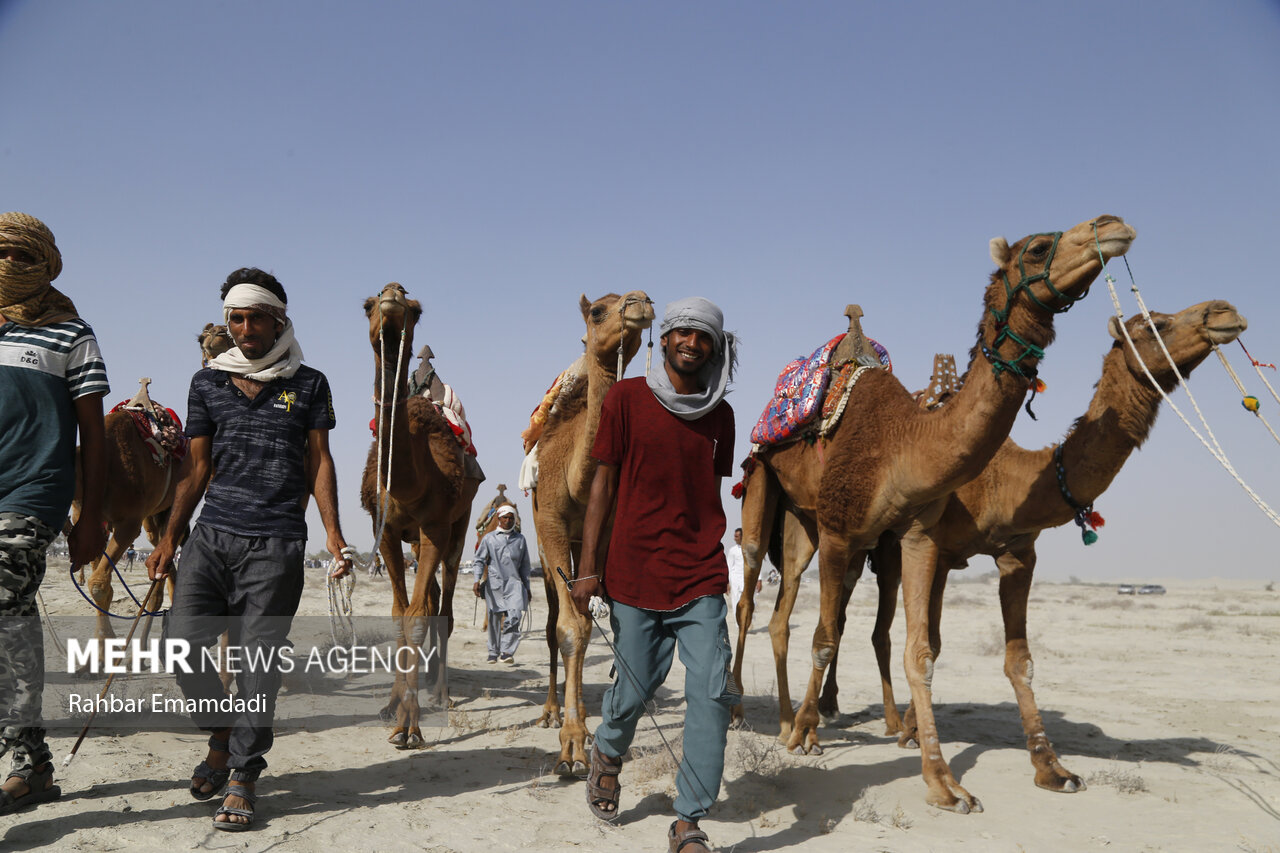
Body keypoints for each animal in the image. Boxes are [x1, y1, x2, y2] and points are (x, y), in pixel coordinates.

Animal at [358, 280, 481, 742]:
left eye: (416, 308)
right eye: (368, 305)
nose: (392, 293)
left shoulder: (435, 527)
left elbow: (416, 616)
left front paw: (408, 725)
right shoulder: (387, 532)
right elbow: (400, 614)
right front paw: (392, 704)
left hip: (459, 528)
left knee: (443, 607)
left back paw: (441, 693)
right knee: (428, 603)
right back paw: (427, 680)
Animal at [527, 289, 650, 773]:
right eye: (598, 311)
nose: (641, 302)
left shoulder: (606, 530)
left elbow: (592, 625)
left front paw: (582, 737)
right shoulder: (550, 524)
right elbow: (567, 629)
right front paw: (571, 744)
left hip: (584, 546)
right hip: (547, 555)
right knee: (550, 625)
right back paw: (550, 711)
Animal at [737, 212, 1136, 809]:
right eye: (1038, 246)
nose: (1112, 225)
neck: (903, 441)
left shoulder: (915, 535)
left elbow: (918, 651)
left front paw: (943, 782)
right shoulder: (840, 530)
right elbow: (825, 638)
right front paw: (809, 737)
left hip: (804, 522)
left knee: (782, 614)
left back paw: (786, 719)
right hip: (766, 485)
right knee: (749, 595)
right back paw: (749, 711)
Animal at [875, 298, 1244, 788]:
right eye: (1155, 325)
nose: (1223, 312)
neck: (1002, 480)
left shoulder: (1016, 554)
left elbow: (1018, 660)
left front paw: (1051, 766)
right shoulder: (932, 542)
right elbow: (927, 645)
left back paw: (905, 728)